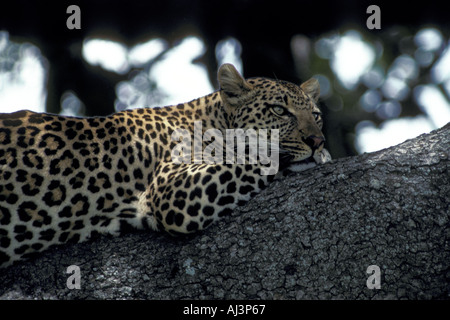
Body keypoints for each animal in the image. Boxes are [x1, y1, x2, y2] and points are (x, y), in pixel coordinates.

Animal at [0, 63, 330, 268]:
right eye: (279, 110)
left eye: (316, 115)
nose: (317, 140)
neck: (212, 121)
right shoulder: (174, 189)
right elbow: (254, 160)